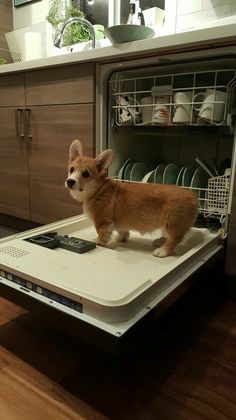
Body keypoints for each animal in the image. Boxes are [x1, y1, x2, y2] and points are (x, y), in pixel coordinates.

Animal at [65, 140, 198, 256]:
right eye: (71, 169)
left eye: (86, 174)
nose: (70, 181)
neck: (98, 190)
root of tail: (193, 197)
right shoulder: (118, 223)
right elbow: (122, 231)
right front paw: (121, 238)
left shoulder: (102, 221)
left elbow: (102, 234)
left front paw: (98, 242)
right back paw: (160, 241)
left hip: (172, 223)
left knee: (175, 239)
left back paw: (162, 250)